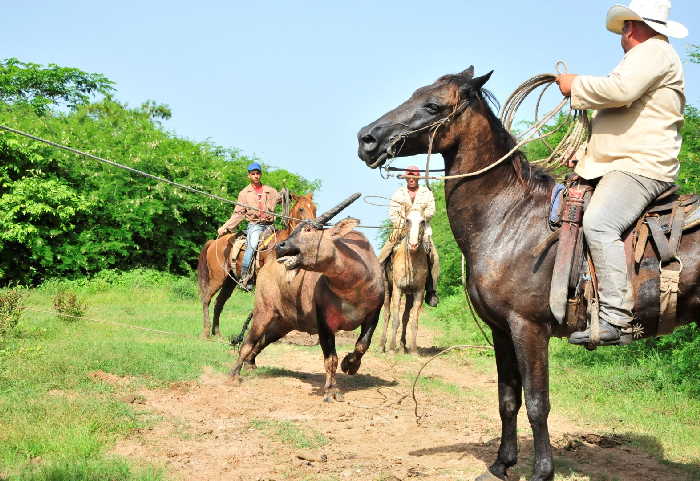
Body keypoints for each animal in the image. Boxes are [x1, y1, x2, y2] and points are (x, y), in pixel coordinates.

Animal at [197, 192, 318, 338]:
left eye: (315, 208)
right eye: (301, 209)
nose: (313, 229)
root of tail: (214, 242)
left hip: (229, 281)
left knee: (219, 302)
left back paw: (217, 333)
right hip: (217, 277)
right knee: (206, 299)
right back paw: (206, 332)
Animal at [358, 67, 700, 480]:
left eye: (434, 105)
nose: (367, 139)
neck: (509, 218)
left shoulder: (529, 328)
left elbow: (537, 403)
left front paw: (541, 471)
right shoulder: (501, 329)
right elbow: (508, 398)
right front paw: (501, 464)